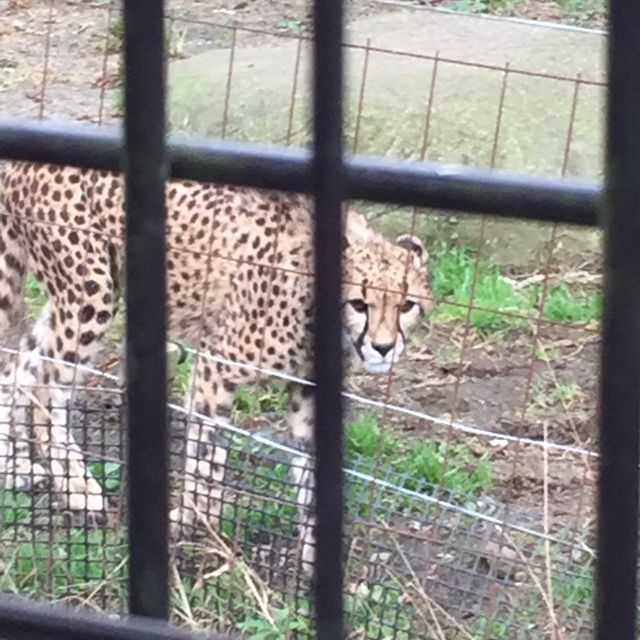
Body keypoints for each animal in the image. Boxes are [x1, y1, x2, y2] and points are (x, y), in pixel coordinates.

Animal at [0, 162, 430, 568]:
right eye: (358, 303)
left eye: (407, 305)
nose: (383, 348)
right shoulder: (214, 367)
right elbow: (207, 463)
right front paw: (191, 525)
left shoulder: (307, 391)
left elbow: (311, 476)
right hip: (90, 294)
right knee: (44, 391)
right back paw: (79, 491)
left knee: (19, 366)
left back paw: (15, 468)